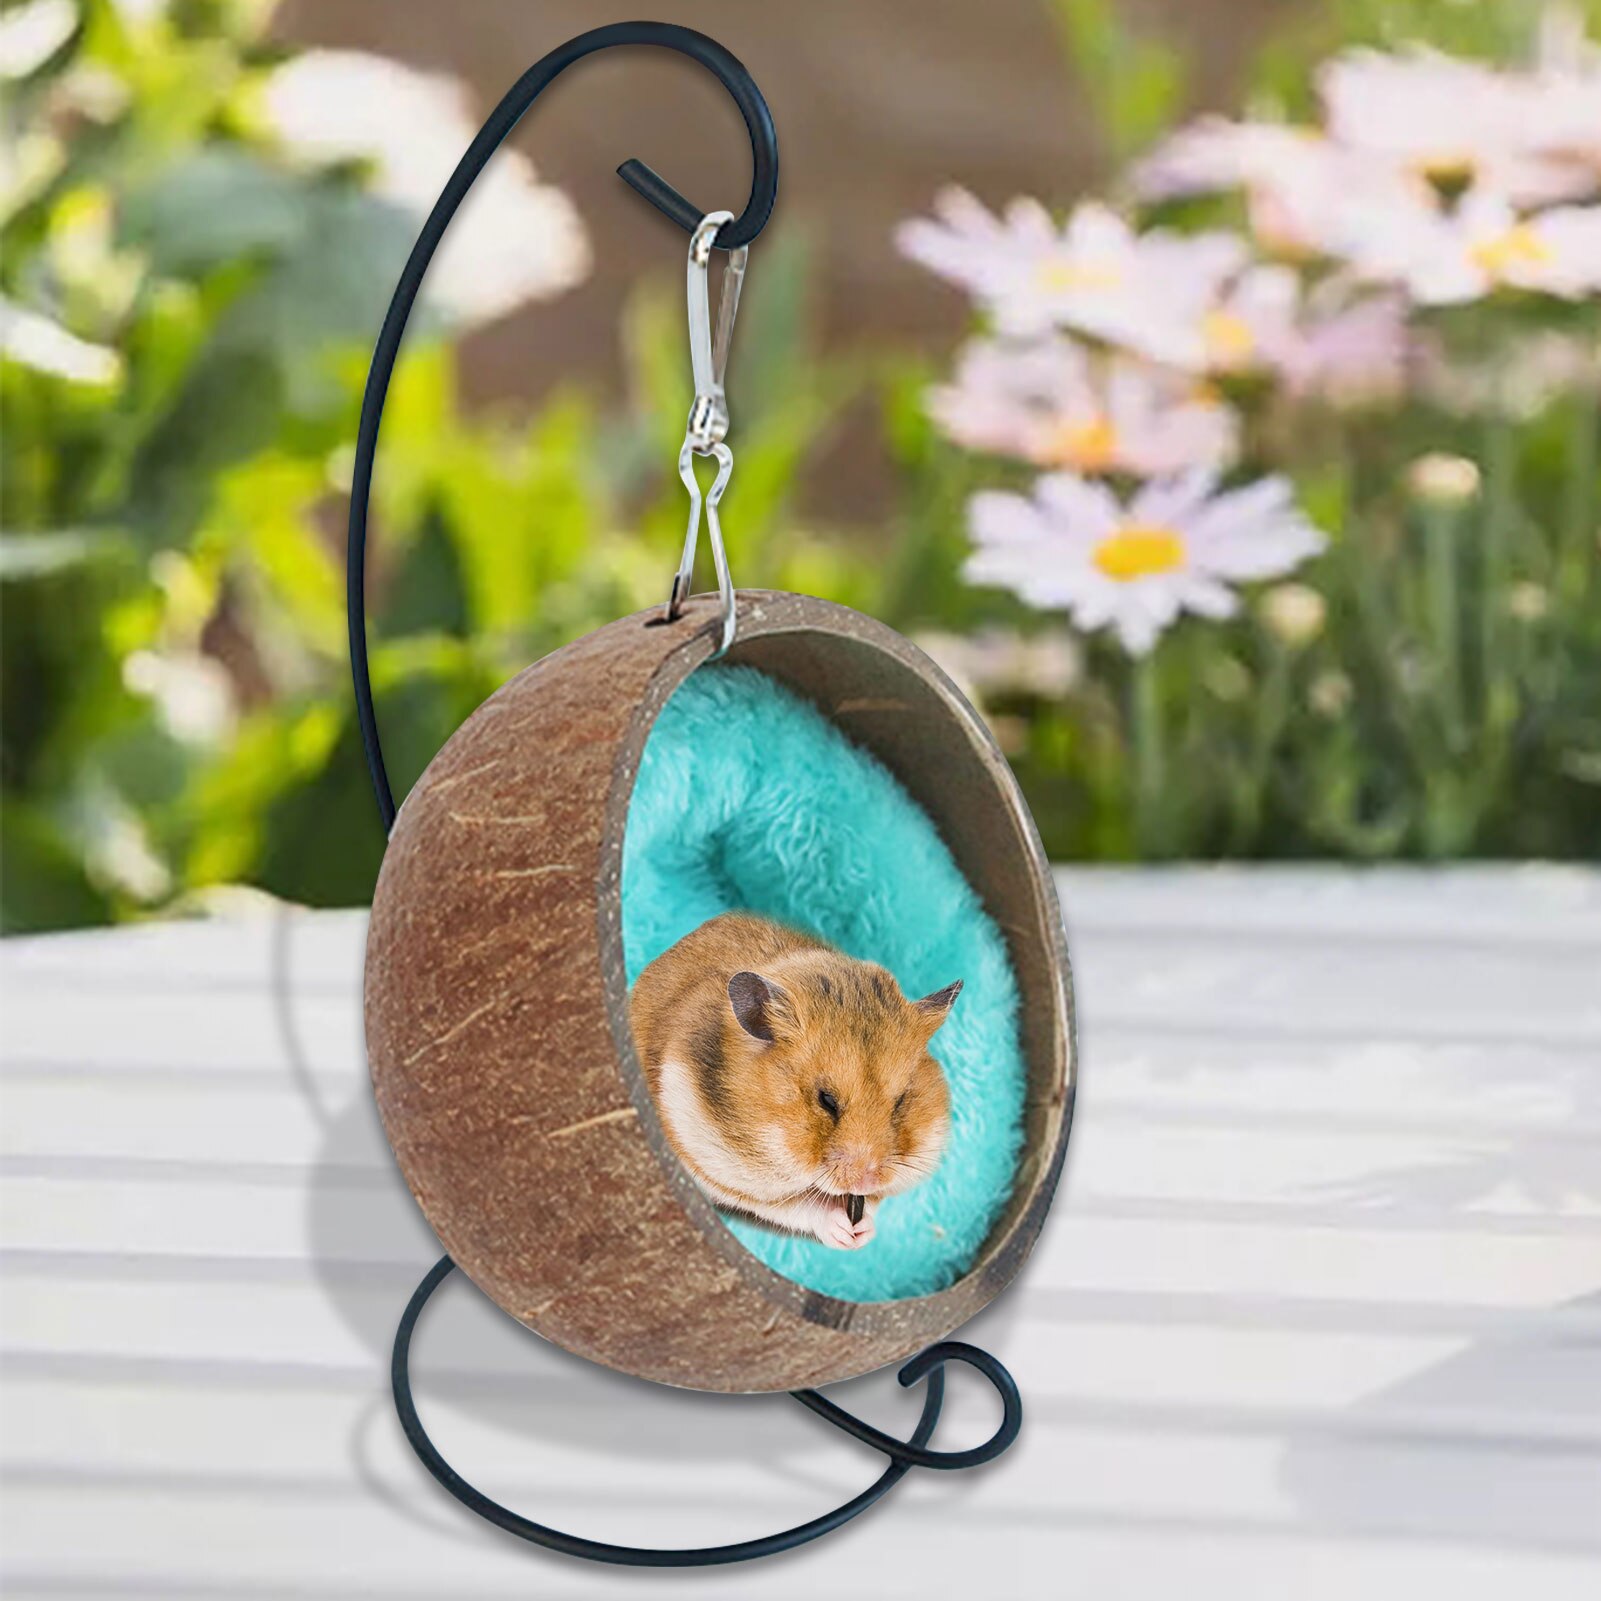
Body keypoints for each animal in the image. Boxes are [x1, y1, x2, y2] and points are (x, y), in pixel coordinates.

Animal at [629, 912, 958, 1250]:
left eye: (901, 1101)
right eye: (826, 1100)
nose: (866, 1180)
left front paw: (862, 1233)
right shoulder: (721, 1170)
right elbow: (793, 1205)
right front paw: (846, 1235)